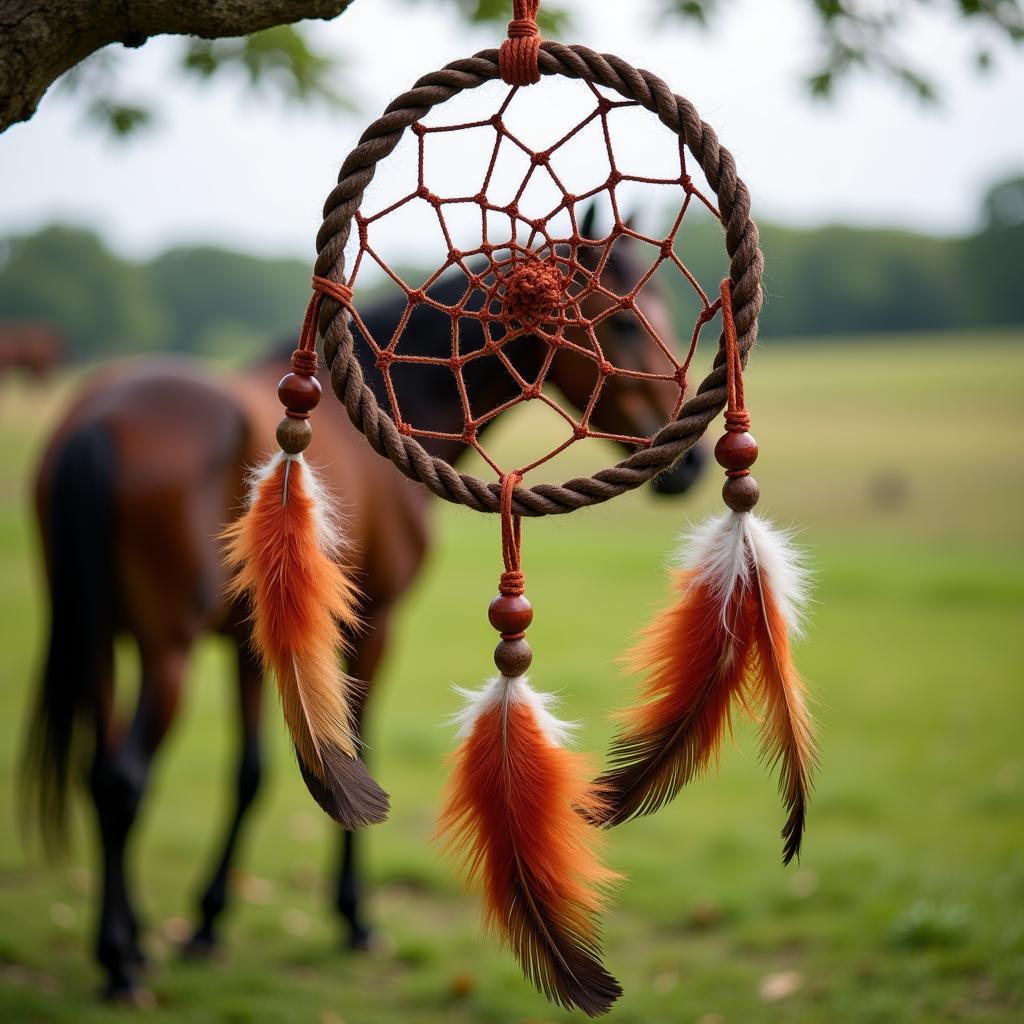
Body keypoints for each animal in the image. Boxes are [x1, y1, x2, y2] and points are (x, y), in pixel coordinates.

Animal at [19, 216, 704, 999]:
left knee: (97, 772)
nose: (690, 464)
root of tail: (101, 418)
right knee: (124, 779)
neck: (387, 394)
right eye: (620, 323)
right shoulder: (374, 627)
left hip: (100, 640)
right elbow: (351, 746)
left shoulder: (254, 640)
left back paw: (130, 942)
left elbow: (251, 772)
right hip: (166, 651)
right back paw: (121, 962)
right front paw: (354, 918)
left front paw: (207, 925)